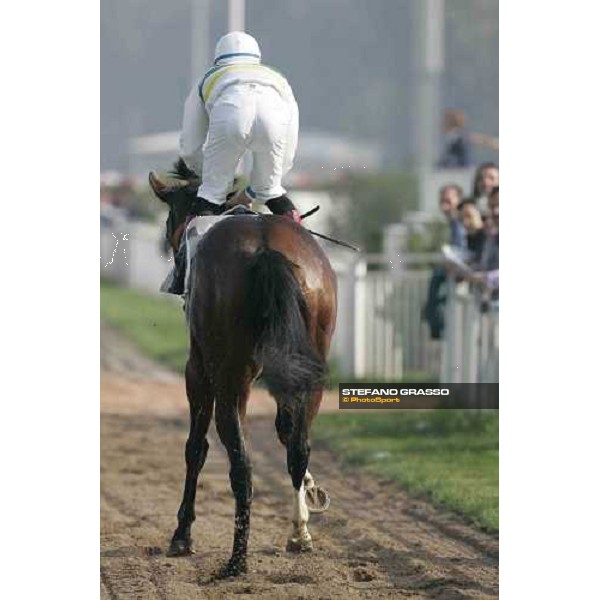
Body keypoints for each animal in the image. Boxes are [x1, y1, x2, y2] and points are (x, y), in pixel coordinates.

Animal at [149, 172, 338, 576]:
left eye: (170, 216)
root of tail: (267, 250)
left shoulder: (198, 370)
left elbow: (196, 447)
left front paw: (182, 535)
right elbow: (286, 430)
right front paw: (310, 493)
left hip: (231, 376)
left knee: (241, 463)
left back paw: (237, 560)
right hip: (312, 366)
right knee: (298, 447)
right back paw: (298, 534)